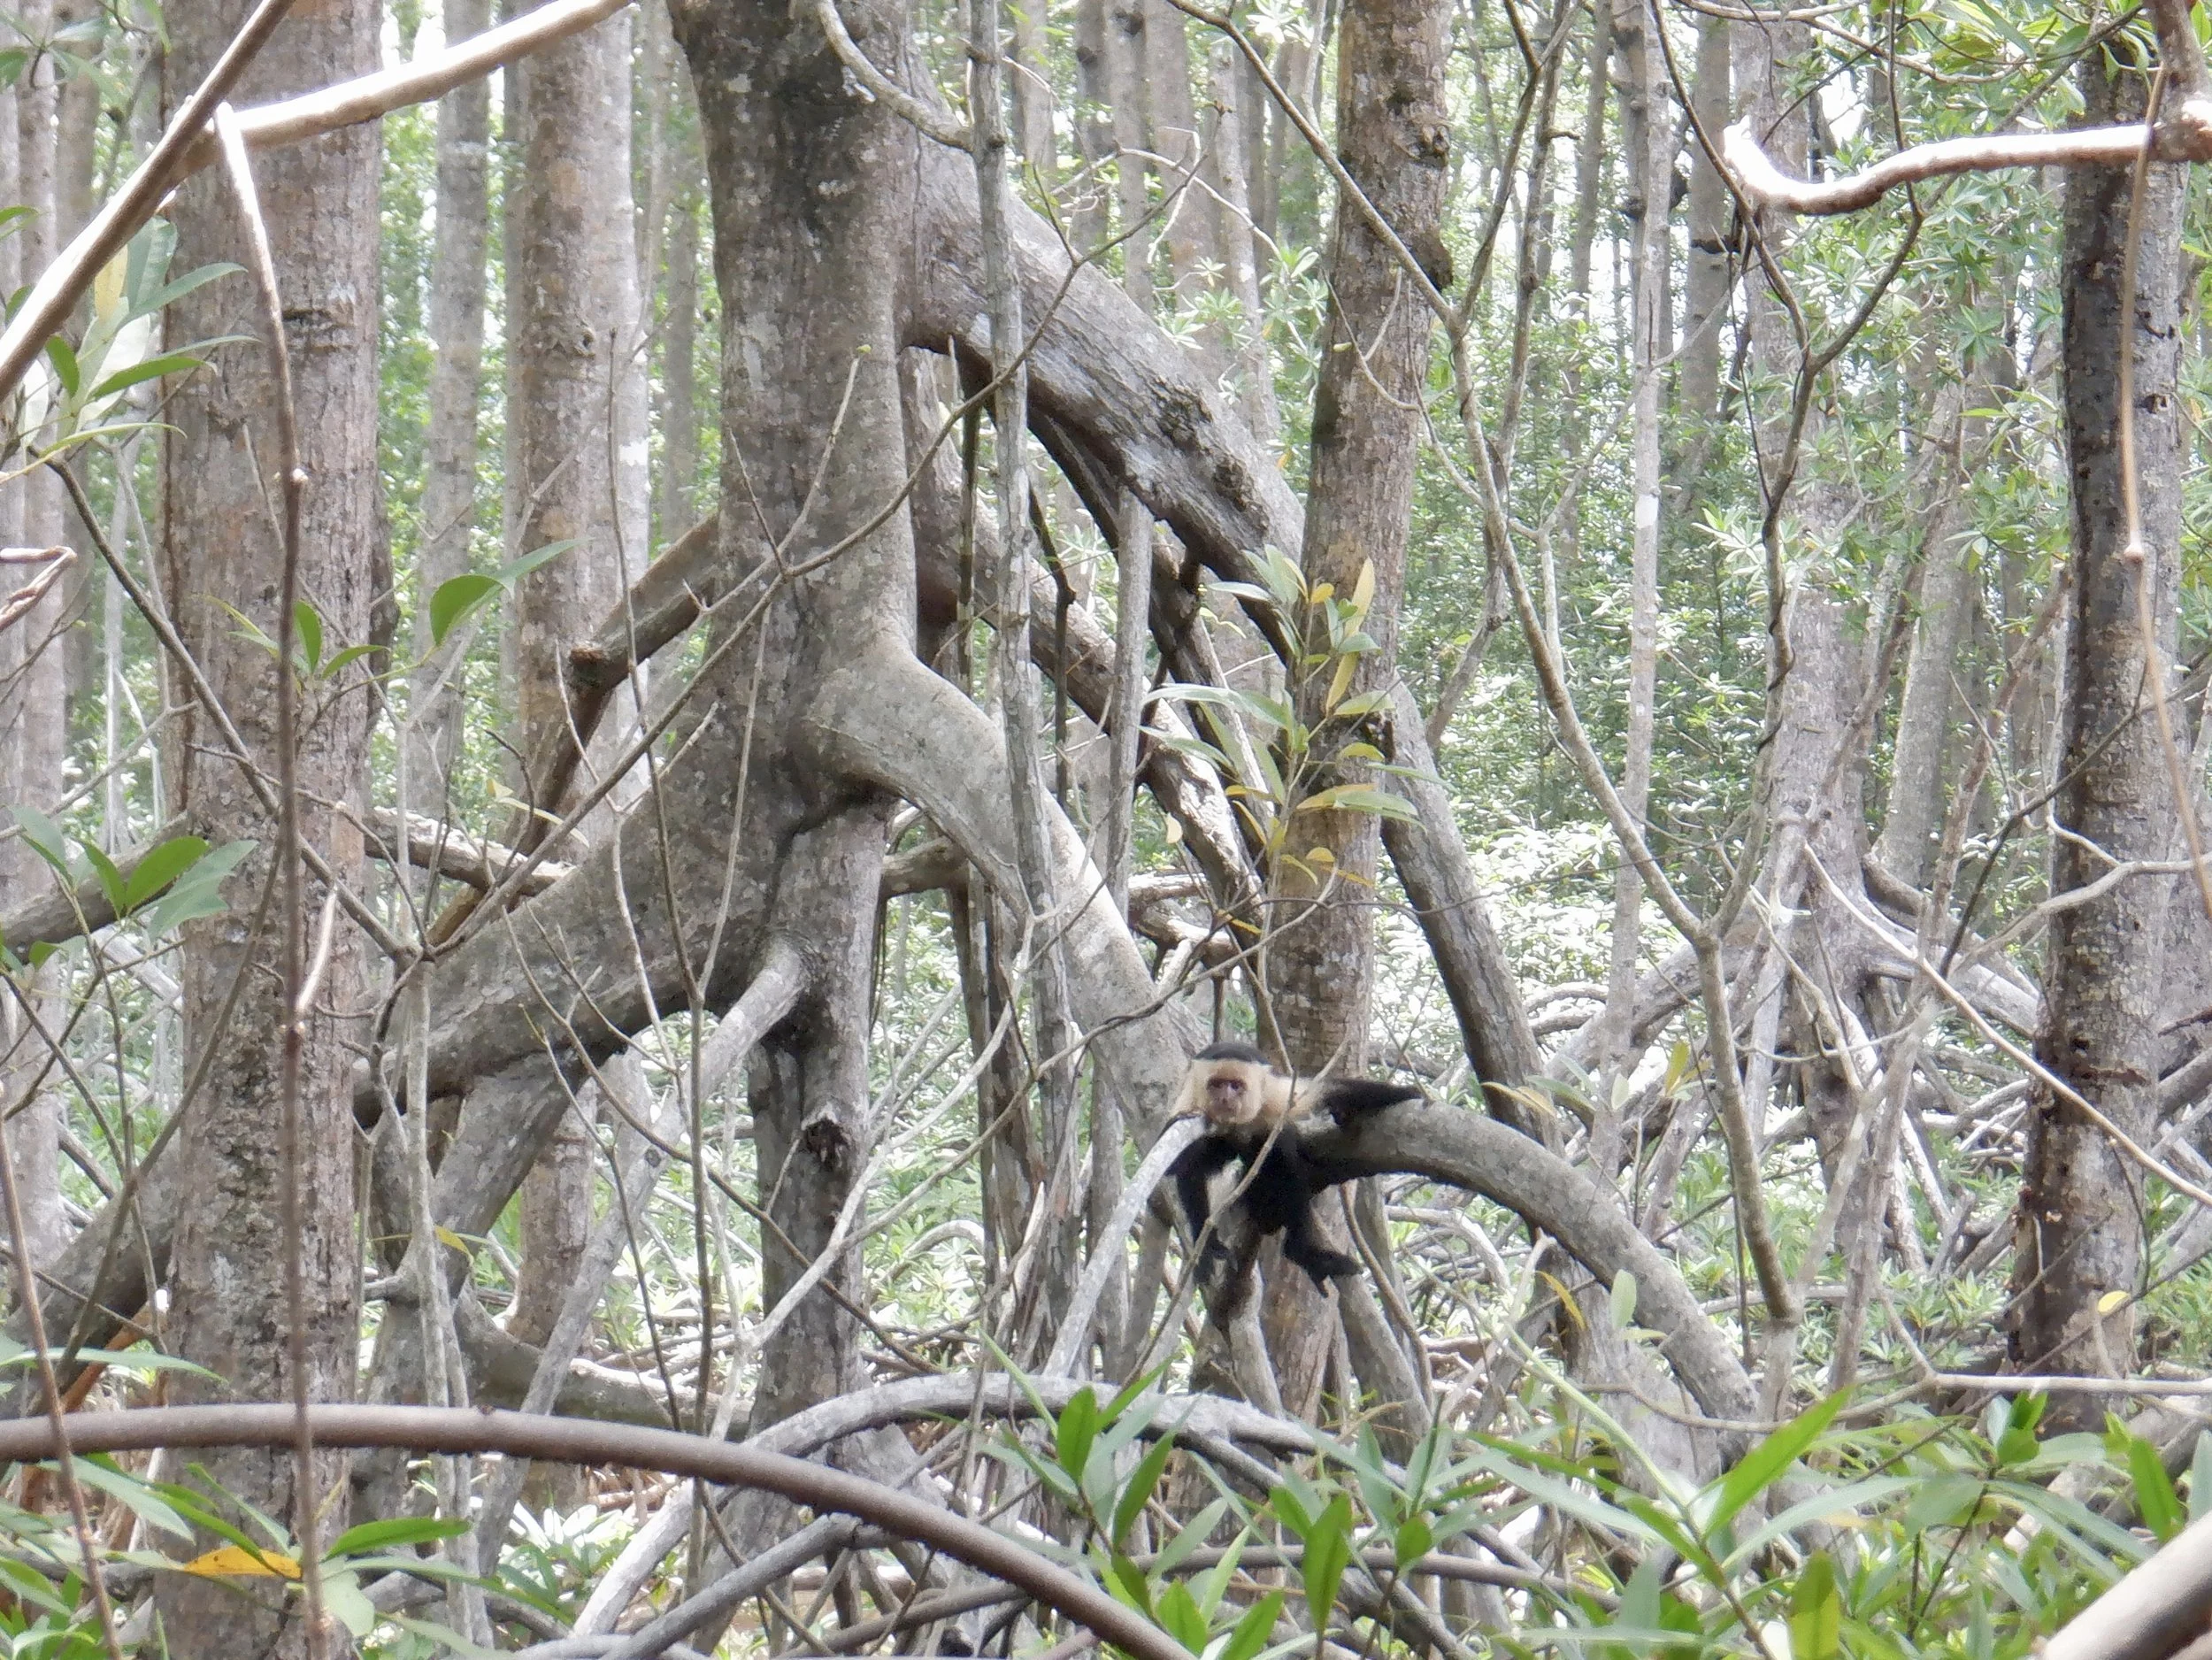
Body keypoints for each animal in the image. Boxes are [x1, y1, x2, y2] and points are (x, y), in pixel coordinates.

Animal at [1169, 1041, 1422, 1293]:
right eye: (1216, 1085)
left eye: (1235, 1086)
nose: (1224, 1098)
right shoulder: (1191, 1104)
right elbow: (1184, 1167)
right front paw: (1209, 1246)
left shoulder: (1275, 1096)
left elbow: (1332, 1091)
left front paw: (1405, 1093)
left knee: (1281, 1150)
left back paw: (1301, 1250)